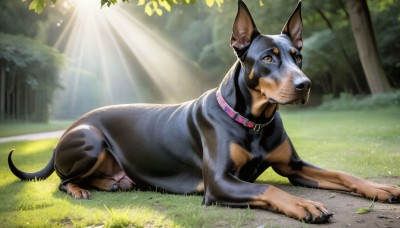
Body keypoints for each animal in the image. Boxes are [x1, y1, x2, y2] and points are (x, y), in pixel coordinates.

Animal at [7, 0, 398, 224]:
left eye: (297, 56)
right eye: (269, 57)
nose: (305, 85)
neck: (254, 122)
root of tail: (71, 127)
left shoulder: (295, 166)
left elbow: (340, 173)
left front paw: (380, 187)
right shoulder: (220, 182)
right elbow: (270, 189)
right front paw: (305, 206)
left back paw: (113, 182)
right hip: (90, 139)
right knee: (63, 180)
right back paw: (81, 190)